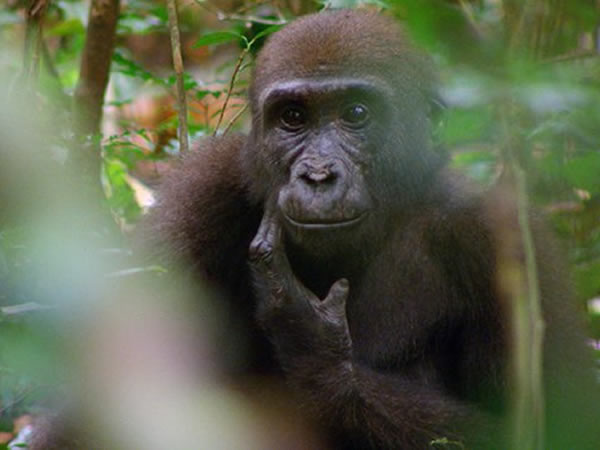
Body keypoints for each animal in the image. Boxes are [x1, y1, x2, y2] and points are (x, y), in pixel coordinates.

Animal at [143, 7, 596, 450]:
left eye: (356, 114)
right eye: (293, 117)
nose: (318, 175)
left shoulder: (502, 237)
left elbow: (540, 428)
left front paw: (317, 351)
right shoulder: (200, 194)